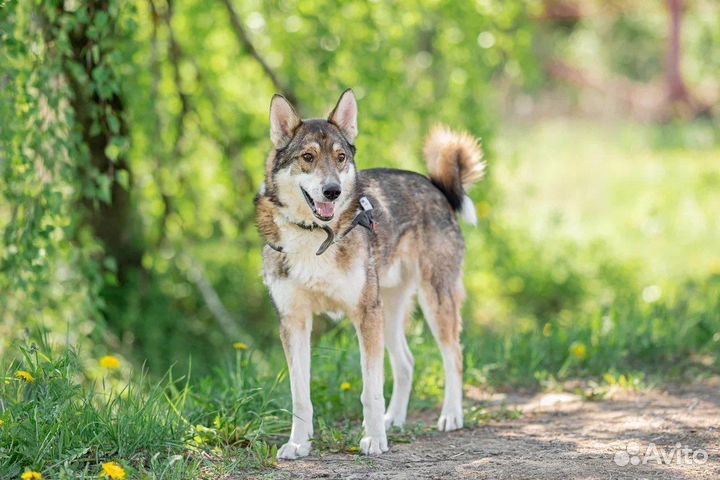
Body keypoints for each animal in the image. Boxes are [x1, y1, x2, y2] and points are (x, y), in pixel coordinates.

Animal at [253, 88, 484, 460]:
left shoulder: (364, 315)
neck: (316, 236)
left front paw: (374, 439)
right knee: (406, 363)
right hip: (387, 310)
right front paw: (298, 443)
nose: (332, 191)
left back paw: (450, 415)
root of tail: (435, 187)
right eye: (307, 157)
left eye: (340, 157)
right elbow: (300, 395)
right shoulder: (294, 322)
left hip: (432, 301)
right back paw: (395, 419)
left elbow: (370, 390)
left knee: (455, 357)